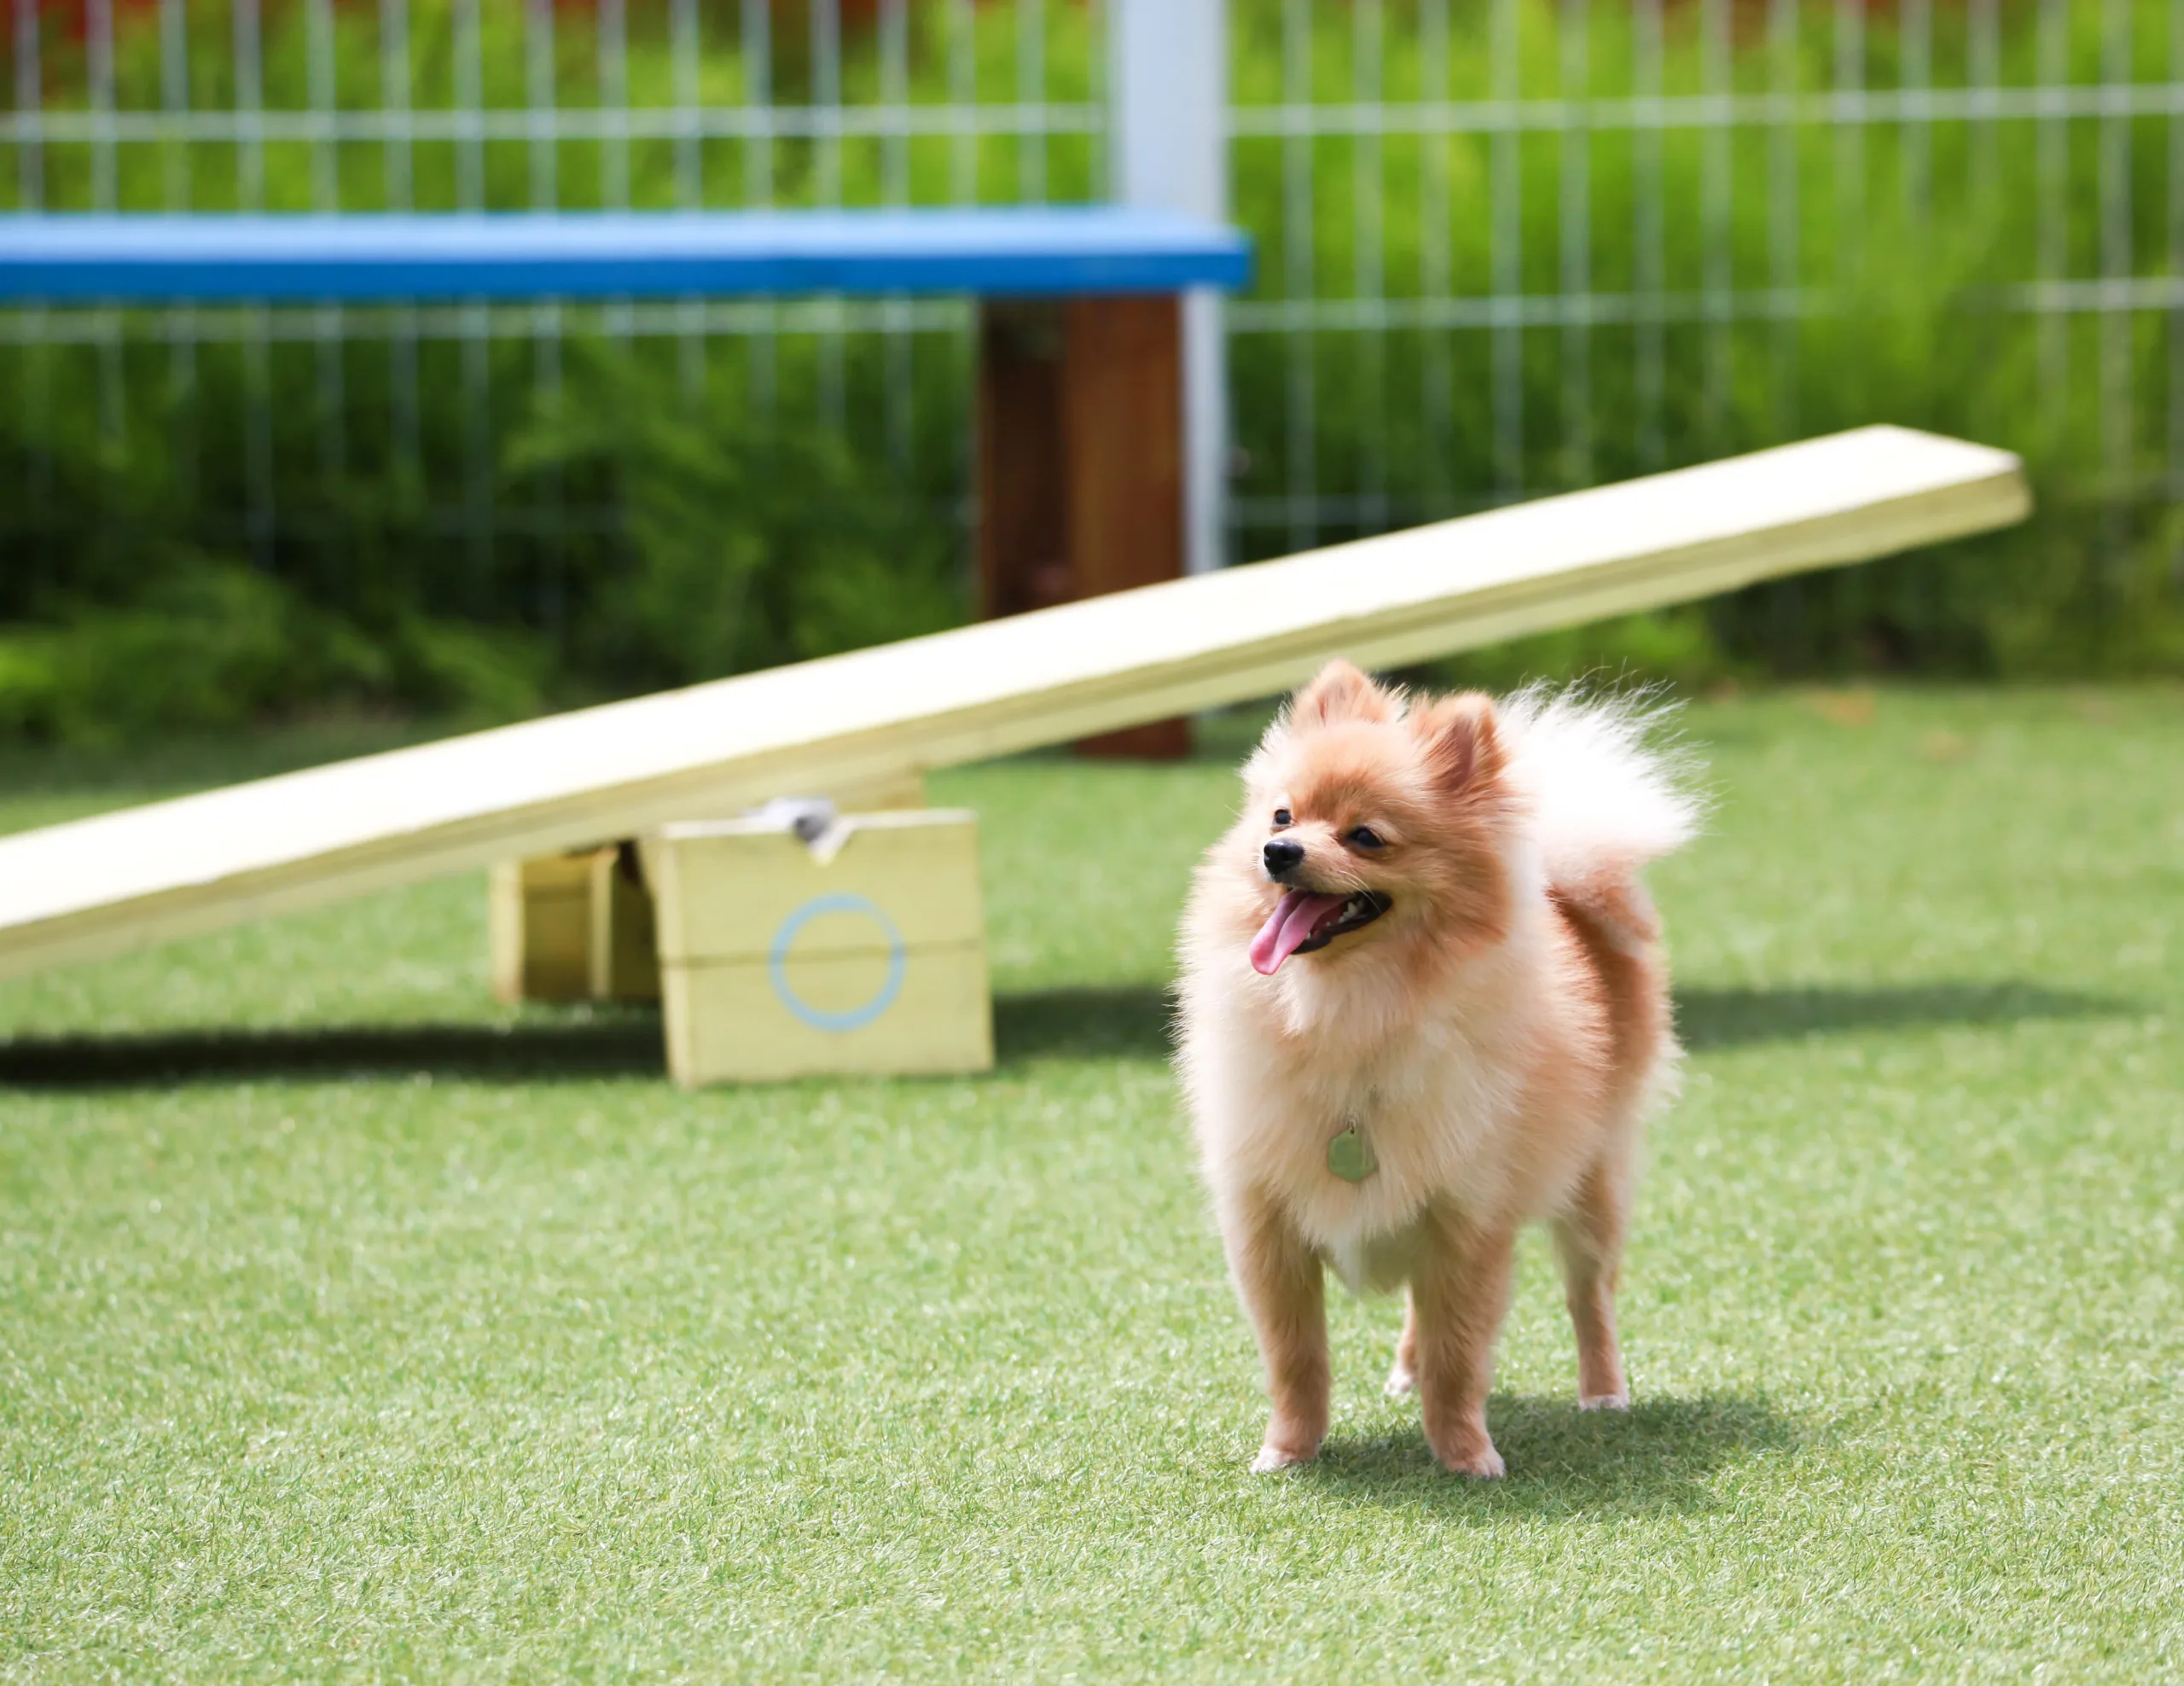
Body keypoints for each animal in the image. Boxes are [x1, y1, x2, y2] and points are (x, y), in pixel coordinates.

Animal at [1188, 659, 1694, 1476]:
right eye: (1281, 817)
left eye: (1366, 837)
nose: (1279, 854)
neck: (1347, 1011)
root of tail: (1566, 893)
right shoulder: (1269, 1229)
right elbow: (1296, 1359)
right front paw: (1289, 1452)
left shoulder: (1467, 1223)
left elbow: (1460, 1355)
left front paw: (1464, 1455)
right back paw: (1405, 1368)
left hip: (1593, 1184)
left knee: (1591, 1295)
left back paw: (1603, 1391)